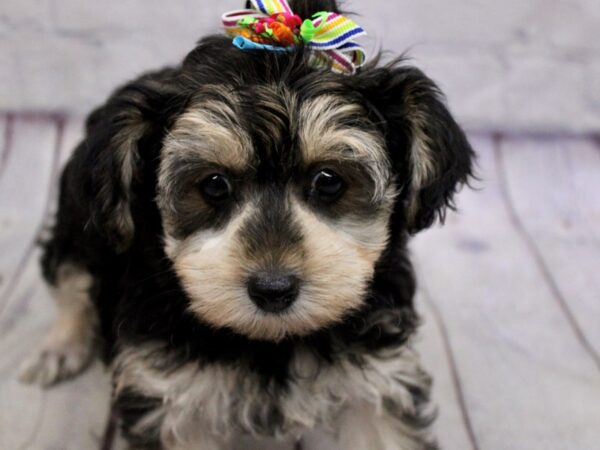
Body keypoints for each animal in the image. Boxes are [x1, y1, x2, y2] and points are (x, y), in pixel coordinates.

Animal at [21, 1, 474, 448]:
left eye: (329, 181)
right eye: (213, 185)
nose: (273, 290)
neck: (270, 342)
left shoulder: (378, 375)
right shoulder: (170, 392)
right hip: (84, 219)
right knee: (71, 274)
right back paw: (60, 346)